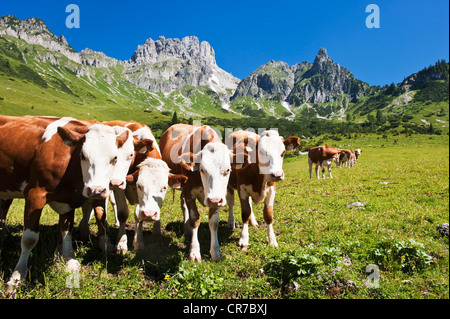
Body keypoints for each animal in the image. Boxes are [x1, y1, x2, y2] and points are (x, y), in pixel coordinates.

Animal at [0, 115, 130, 292]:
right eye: (83, 155)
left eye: (114, 158)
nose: (96, 191)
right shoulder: (35, 194)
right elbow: (29, 239)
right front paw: (16, 277)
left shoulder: (68, 199)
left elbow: (66, 229)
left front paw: (68, 258)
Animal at [159, 124, 232, 262]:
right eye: (202, 169)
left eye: (228, 170)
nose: (214, 200)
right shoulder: (189, 192)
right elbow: (194, 220)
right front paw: (194, 252)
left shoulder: (216, 197)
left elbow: (213, 223)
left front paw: (215, 252)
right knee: (183, 206)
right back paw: (187, 229)